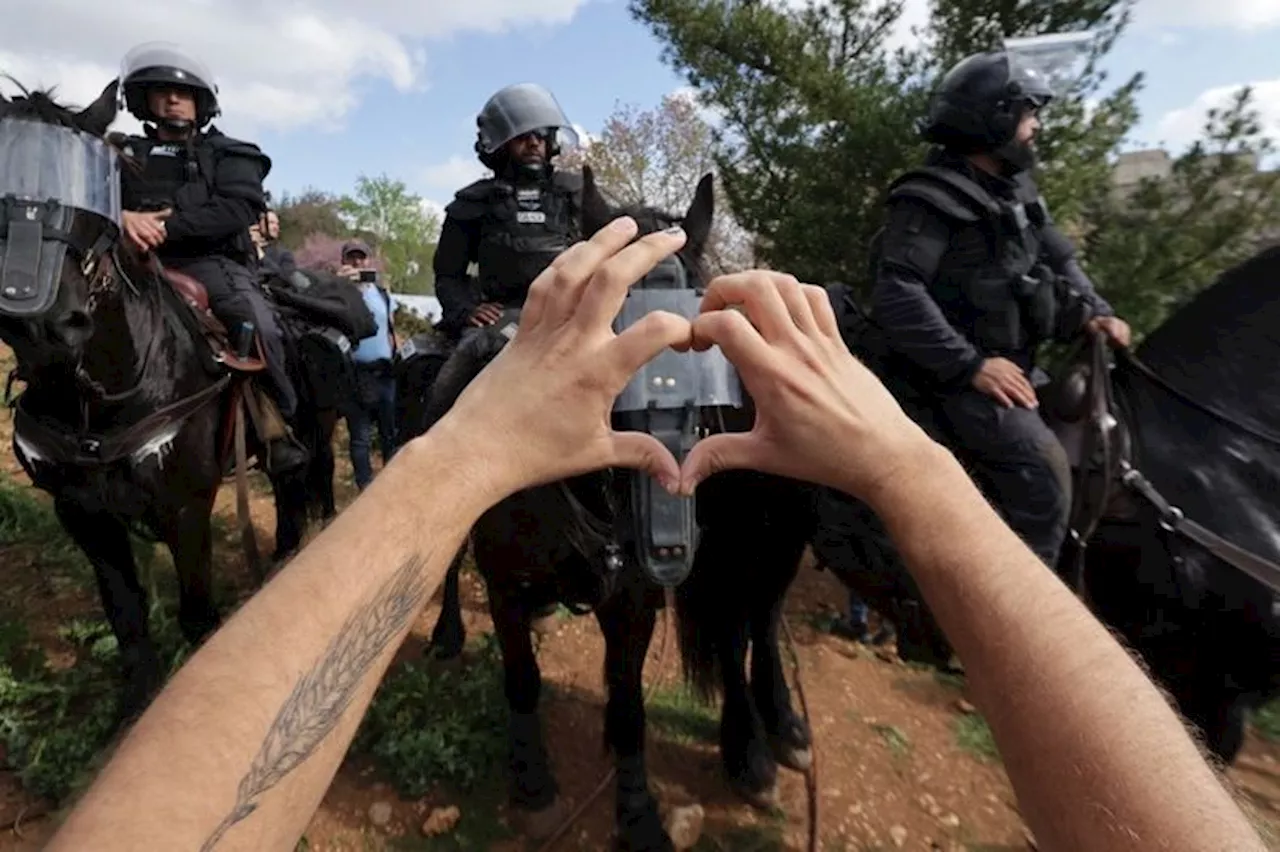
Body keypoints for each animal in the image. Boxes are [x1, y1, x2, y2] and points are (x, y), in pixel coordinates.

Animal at [0, 81, 325, 716]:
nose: (45, 322)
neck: (96, 402)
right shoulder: (82, 513)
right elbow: (126, 618)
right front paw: (136, 708)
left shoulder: (185, 508)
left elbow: (198, 617)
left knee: (295, 486)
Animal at [419, 163, 814, 844]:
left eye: (705, 329)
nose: (667, 539)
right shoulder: (505, 585)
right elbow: (521, 681)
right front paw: (533, 783)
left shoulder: (635, 600)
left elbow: (629, 708)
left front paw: (638, 814)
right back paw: (448, 632)